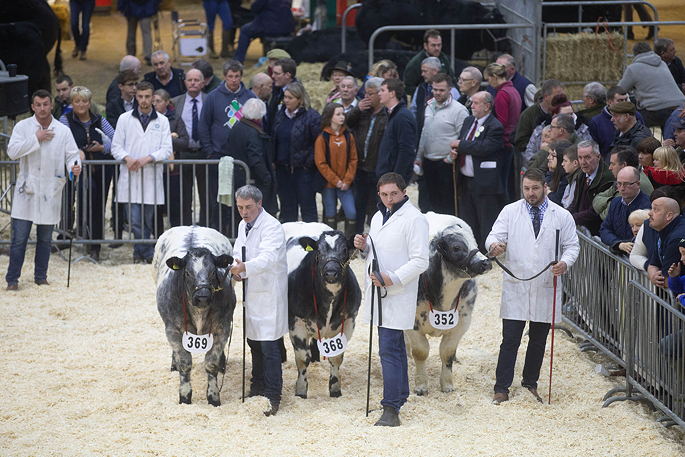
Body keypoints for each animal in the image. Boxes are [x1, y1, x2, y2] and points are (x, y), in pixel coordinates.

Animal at [153, 225, 236, 406]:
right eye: (188, 273)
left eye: (213, 272)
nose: (202, 296)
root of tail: (193, 226)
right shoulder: (173, 329)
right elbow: (184, 363)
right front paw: (185, 396)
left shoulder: (223, 327)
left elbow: (211, 363)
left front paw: (213, 397)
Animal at [280, 220, 360, 396]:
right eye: (318, 251)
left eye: (345, 250)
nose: (331, 273)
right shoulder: (296, 322)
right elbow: (302, 358)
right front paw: (301, 390)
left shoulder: (349, 321)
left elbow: (337, 357)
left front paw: (335, 389)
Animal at [404, 212, 488, 394]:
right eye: (456, 247)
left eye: (474, 241)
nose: (485, 262)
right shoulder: (412, 323)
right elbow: (421, 352)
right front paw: (421, 385)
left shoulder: (462, 322)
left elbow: (447, 352)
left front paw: (447, 385)